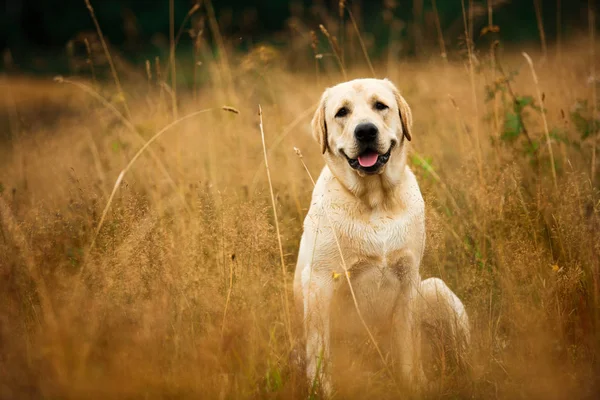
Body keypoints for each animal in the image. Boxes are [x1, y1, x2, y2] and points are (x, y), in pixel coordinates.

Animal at [292, 77, 472, 394]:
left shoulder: (409, 279)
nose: (365, 130)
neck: (374, 202)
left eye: (380, 106)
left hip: (436, 288)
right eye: (342, 112)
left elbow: (408, 344)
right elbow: (320, 349)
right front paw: (321, 390)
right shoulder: (319, 282)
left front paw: (414, 384)